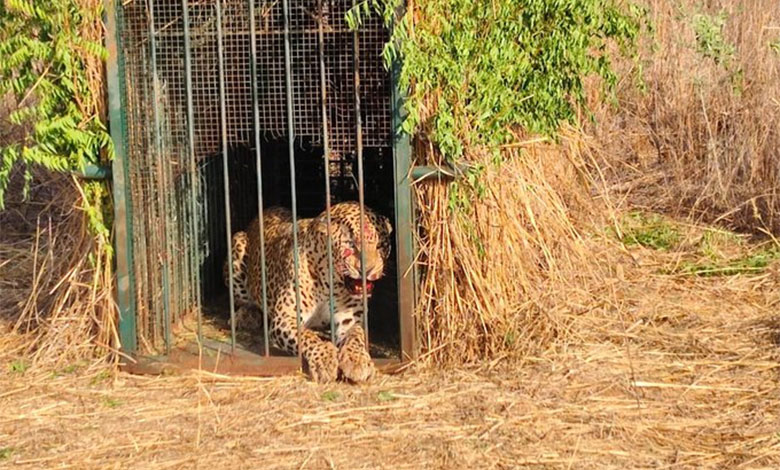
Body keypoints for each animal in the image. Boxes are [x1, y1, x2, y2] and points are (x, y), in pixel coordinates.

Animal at [224, 201, 394, 382]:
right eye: (351, 244)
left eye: (380, 245)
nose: (368, 270)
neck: (330, 284)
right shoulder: (285, 317)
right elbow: (307, 337)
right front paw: (325, 360)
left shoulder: (350, 321)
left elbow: (356, 336)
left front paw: (357, 360)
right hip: (237, 242)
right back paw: (245, 317)